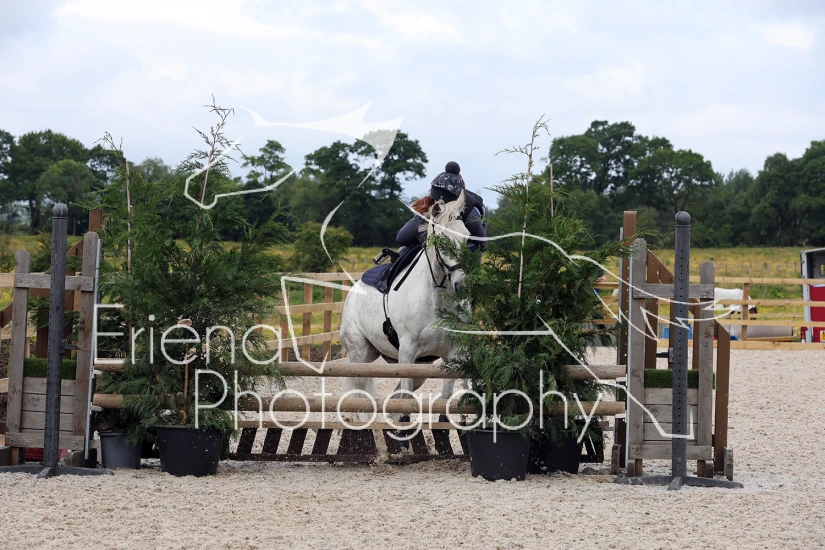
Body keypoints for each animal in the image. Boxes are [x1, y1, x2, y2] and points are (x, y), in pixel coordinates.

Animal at [340, 192, 470, 419]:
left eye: (467, 238)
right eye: (442, 241)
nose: (461, 285)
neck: (437, 300)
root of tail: (355, 288)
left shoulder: (452, 355)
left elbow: (443, 401)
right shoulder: (407, 353)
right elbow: (406, 403)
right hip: (359, 353)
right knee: (356, 389)